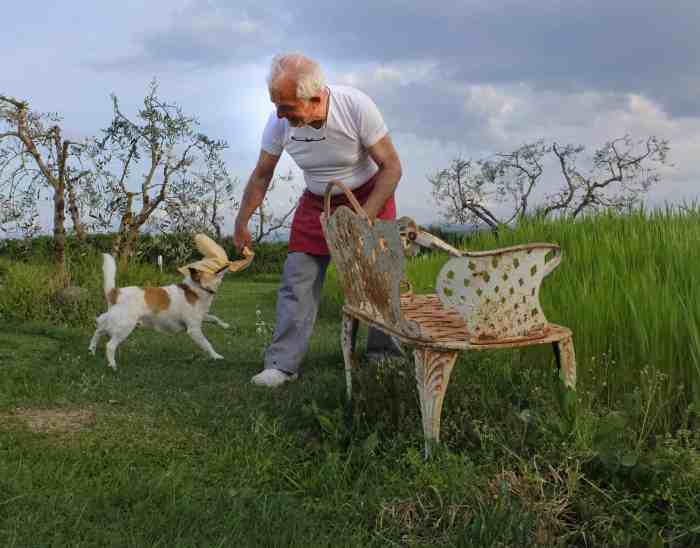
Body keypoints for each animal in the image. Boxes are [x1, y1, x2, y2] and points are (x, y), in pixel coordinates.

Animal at [88, 234, 252, 368]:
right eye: (211, 264)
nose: (227, 263)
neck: (194, 289)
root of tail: (115, 292)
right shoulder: (194, 329)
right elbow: (207, 344)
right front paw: (216, 356)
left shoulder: (202, 316)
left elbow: (214, 318)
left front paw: (225, 325)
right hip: (125, 327)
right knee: (110, 345)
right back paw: (112, 365)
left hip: (113, 322)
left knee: (99, 329)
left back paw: (91, 350)